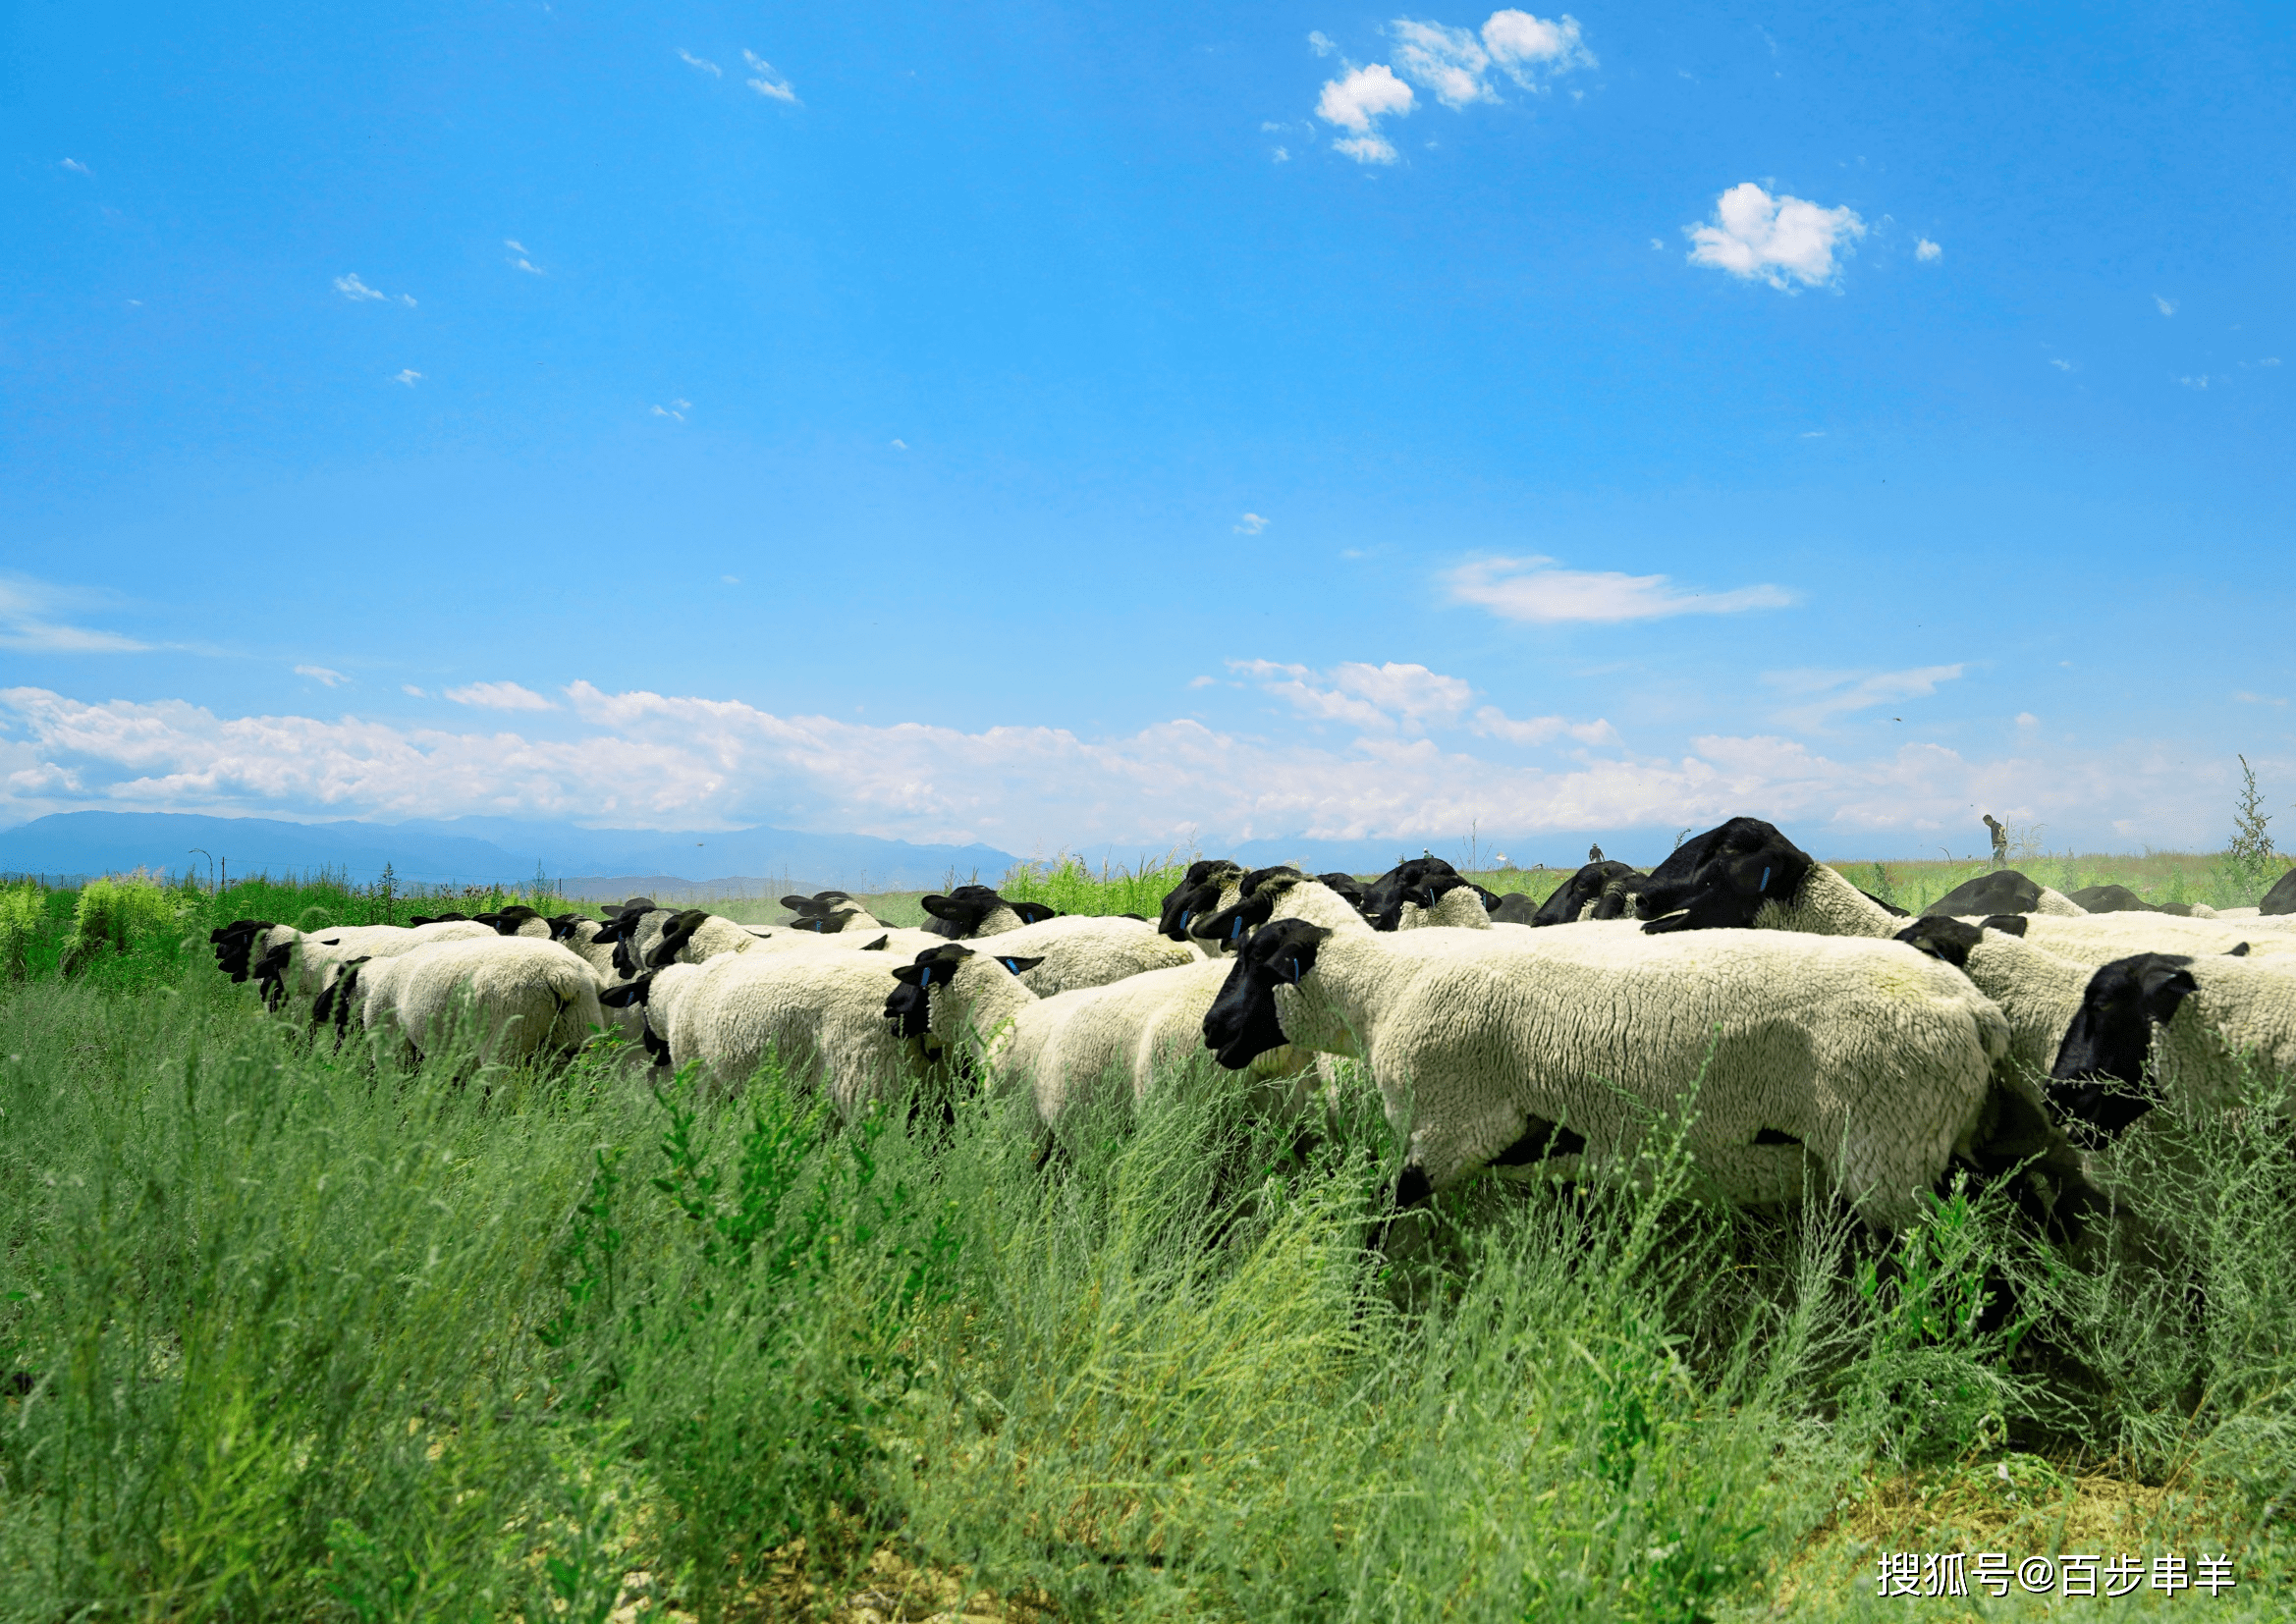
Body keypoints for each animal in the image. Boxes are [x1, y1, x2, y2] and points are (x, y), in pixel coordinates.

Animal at [1203, 909, 2084, 1240]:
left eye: (1256, 961)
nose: (1214, 1030)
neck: (1382, 992)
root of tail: (1975, 1010)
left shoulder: (1449, 1129)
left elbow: (1383, 1216)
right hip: (1952, 1142)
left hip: (1890, 1153)